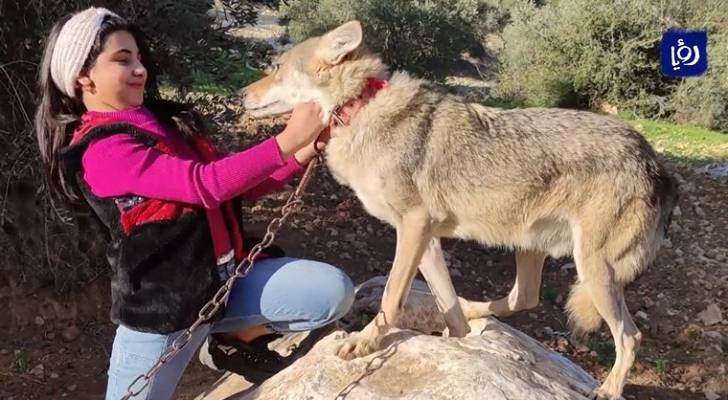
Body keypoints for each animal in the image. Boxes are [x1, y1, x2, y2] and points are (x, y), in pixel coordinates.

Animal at [242, 21, 680, 400]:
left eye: (276, 67)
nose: (242, 94)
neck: (360, 108)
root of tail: (655, 162)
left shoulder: (413, 227)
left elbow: (390, 297)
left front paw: (365, 342)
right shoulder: (426, 239)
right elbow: (446, 305)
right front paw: (457, 341)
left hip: (593, 269)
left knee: (629, 336)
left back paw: (608, 389)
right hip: (533, 249)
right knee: (523, 299)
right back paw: (475, 311)